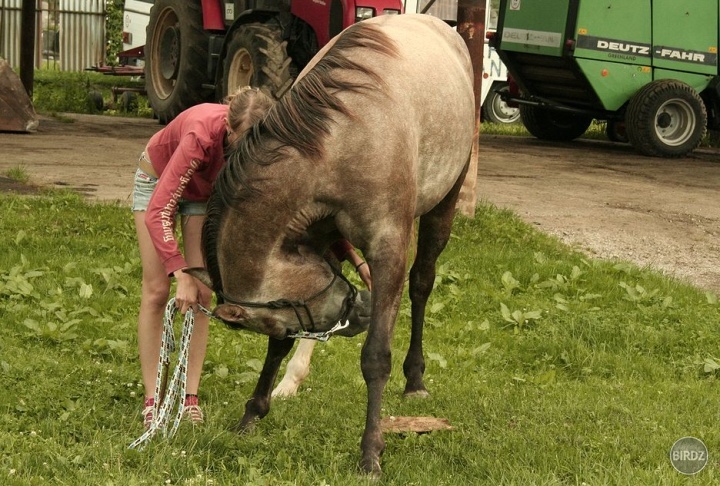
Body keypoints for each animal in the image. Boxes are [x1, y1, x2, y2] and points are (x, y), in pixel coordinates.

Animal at [188, 13, 476, 476]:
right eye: (282, 325)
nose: (360, 312)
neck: (335, 143)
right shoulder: (317, 240)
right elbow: (279, 350)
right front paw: (253, 412)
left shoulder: (387, 246)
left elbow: (375, 357)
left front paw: (371, 451)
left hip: (443, 205)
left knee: (421, 283)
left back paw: (415, 378)